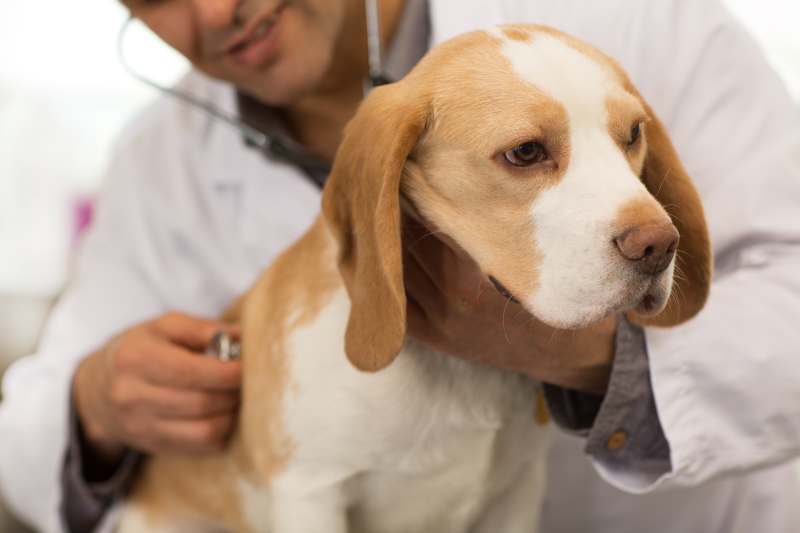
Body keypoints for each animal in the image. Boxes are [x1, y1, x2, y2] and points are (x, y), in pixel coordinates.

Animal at [115, 23, 708, 532]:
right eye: (525, 152)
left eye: (633, 134)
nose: (659, 245)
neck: (462, 375)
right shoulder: (311, 492)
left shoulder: (515, 493)